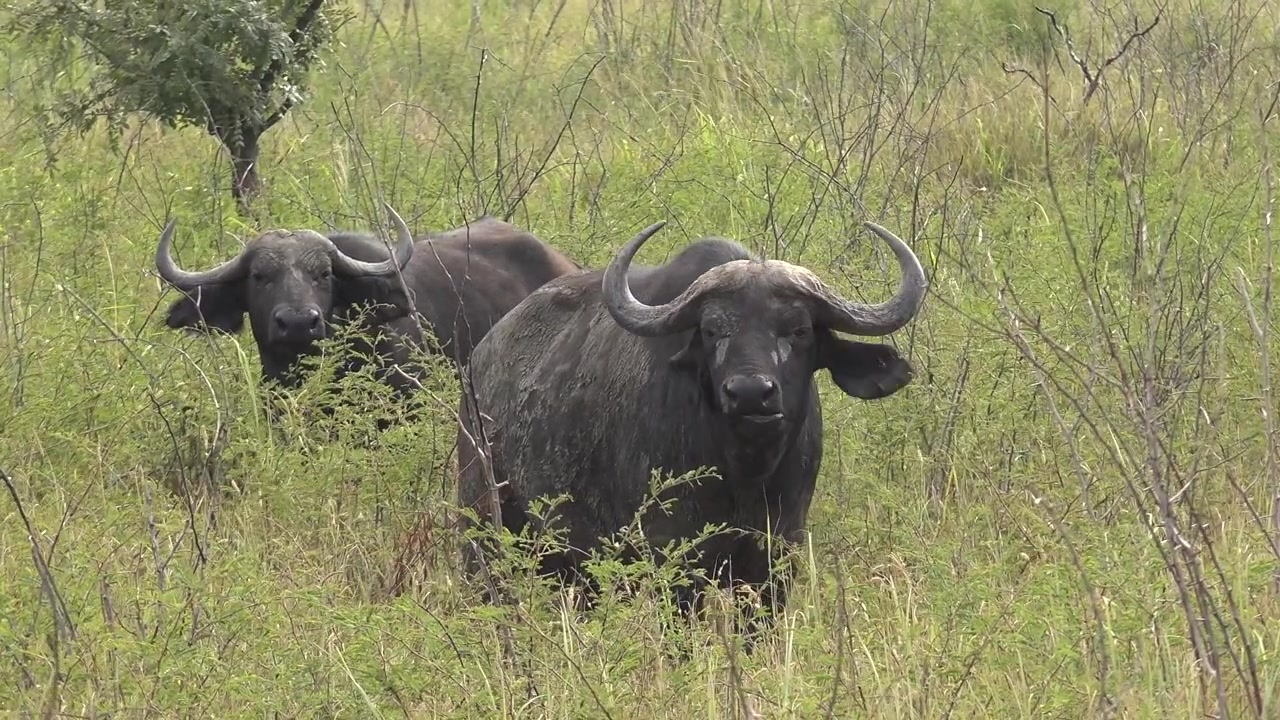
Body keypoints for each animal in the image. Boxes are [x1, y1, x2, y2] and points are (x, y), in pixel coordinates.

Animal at [455, 219, 927, 632]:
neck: (745, 473)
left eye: (799, 329)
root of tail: (478, 363)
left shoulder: (776, 558)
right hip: (483, 533)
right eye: (713, 330)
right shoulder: (676, 558)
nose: (750, 393)